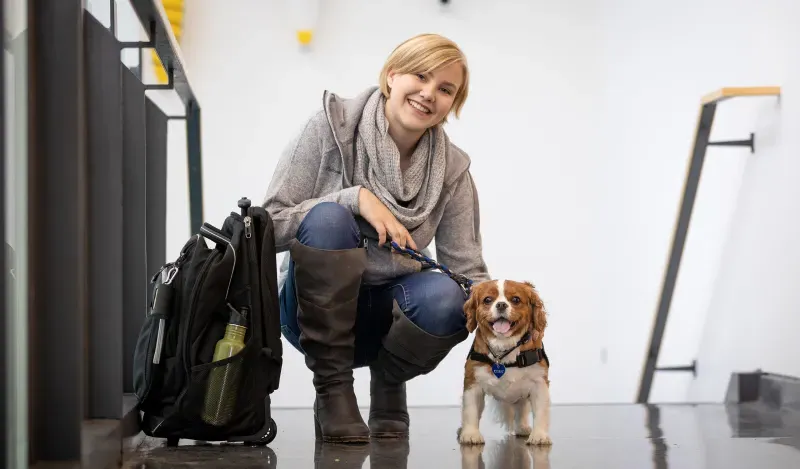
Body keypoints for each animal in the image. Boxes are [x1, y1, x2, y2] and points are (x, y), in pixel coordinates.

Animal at [456, 278, 552, 446]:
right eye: (488, 300)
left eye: (516, 300)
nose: (501, 305)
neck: (504, 346)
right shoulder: (473, 383)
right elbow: (470, 410)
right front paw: (470, 434)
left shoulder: (539, 383)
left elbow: (540, 411)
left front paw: (539, 435)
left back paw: (522, 427)